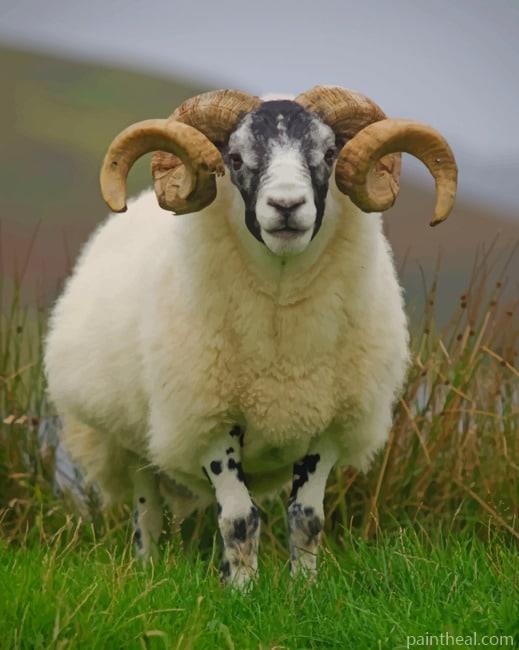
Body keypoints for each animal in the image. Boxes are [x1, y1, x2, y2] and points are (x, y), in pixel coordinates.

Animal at [44, 86, 457, 586]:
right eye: (236, 158)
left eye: (329, 153)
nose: (286, 206)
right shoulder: (210, 422)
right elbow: (239, 518)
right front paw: (243, 590)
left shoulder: (327, 425)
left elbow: (307, 518)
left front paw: (303, 588)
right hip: (130, 440)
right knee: (148, 513)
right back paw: (147, 569)